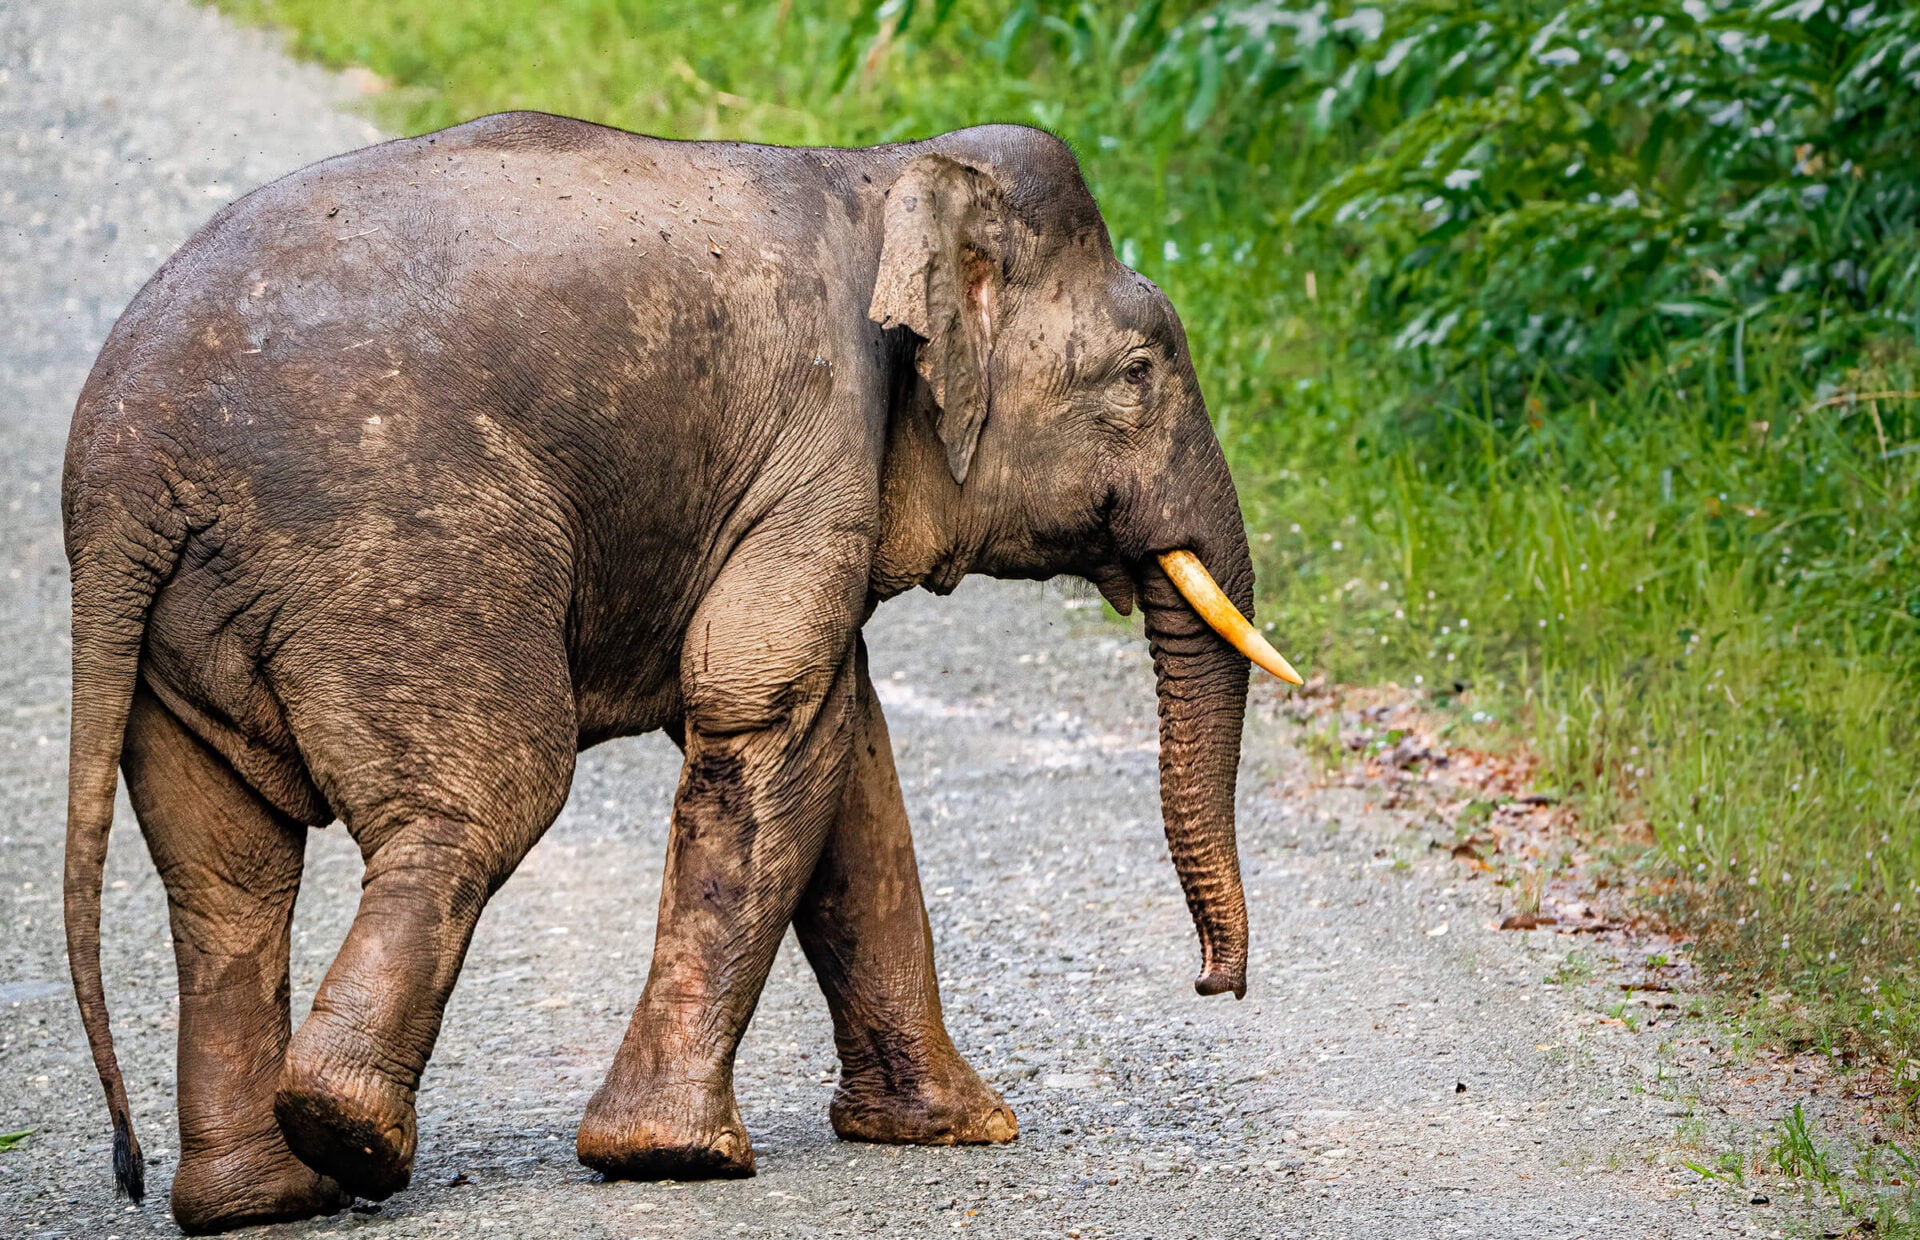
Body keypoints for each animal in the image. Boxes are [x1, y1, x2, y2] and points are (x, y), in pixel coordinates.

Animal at [67, 114, 1305, 1236]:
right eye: (1140, 372)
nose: (1215, 983)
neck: (887, 169)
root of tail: (120, 477)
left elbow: (847, 753)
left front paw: (955, 1128)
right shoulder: (817, 440)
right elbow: (765, 707)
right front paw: (672, 1156)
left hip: (188, 634)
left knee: (226, 873)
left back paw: (257, 1200)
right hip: (398, 554)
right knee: (477, 806)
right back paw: (351, 1136)